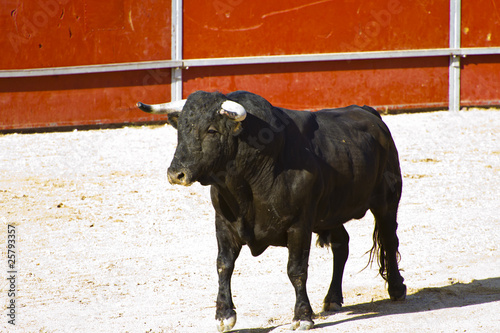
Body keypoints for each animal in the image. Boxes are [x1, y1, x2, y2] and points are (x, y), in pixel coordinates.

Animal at [138, 89, 406, 330]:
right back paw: (332, 299)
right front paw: (224, 314)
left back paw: (396, 288)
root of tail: (368, 112)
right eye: (180, 130)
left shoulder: (299, 225)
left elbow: (296, 269)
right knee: (342, 245)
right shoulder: (223, 223)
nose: (176, 173)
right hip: (330, 213)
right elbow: (224, 264)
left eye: (212, 130)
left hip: (387, 201)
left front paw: (302, 316)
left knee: (389, 239)